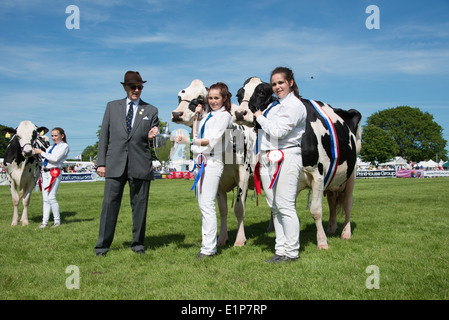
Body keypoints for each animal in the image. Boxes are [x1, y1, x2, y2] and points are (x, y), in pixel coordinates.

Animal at [171, 80, 256, 248]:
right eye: (179, 96)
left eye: (199, 98)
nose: (177, 114)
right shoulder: (218, 180)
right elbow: (222, 210)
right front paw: (222, 239)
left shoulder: (243, 173)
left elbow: (239, 209)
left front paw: (240, 240)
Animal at [234, 76, 360, 249]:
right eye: (239, 95)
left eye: (261, 92)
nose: (240, 113)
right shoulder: (248, 173)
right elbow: (244, 208)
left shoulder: (318, 174)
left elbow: (316, 211)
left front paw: (322, 242)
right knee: (332, 202)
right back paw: (331, 228)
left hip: (351, 175)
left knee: (348, 203)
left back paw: (345, 233)